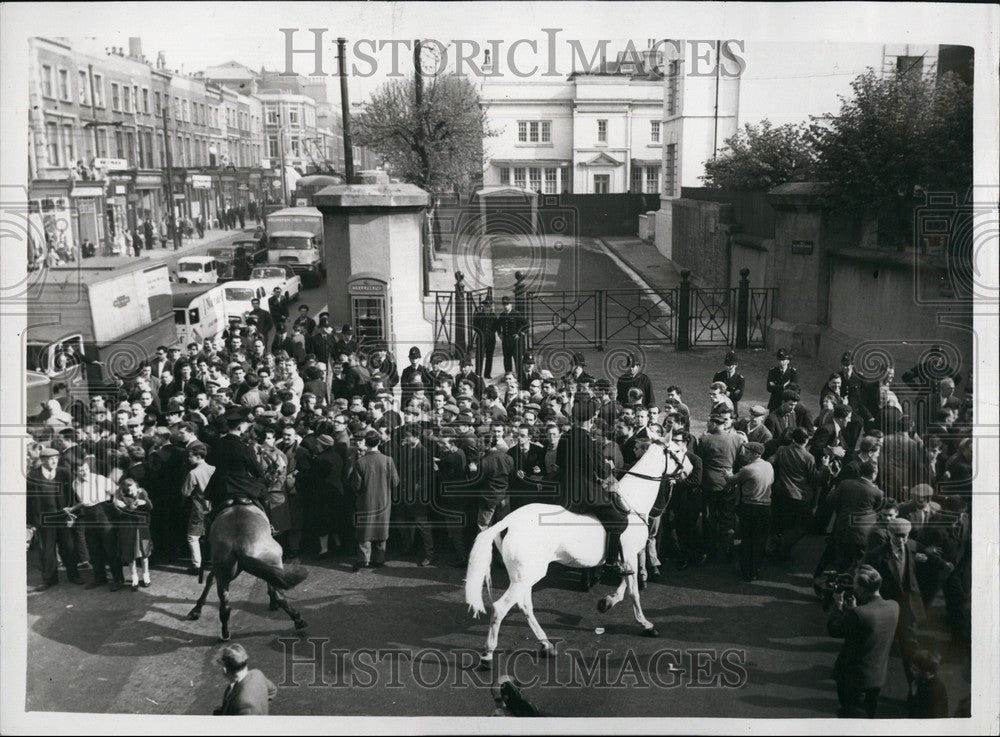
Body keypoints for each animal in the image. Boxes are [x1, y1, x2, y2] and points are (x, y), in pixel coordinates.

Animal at [188, 504, 308, 640]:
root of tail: (238, 543)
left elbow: (210, 579)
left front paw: (197, 609)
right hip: (274, 560)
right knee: (278, 593)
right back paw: (297, 619)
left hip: (224, 572)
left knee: (224, 604)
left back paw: (225, 633)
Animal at [464, 440, 692, 664]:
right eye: (678, 450)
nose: (689, 469)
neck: (632, 502)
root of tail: (509, 521)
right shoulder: (628, 556)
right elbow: (633, 591)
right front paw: (645, 624)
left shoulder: (627, 558)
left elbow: (624, 586)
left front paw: (607, 602)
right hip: (528, 575)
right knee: (500, 608)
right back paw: (488, 654)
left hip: (524, 576)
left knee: (525, 606)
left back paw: (546, 645)